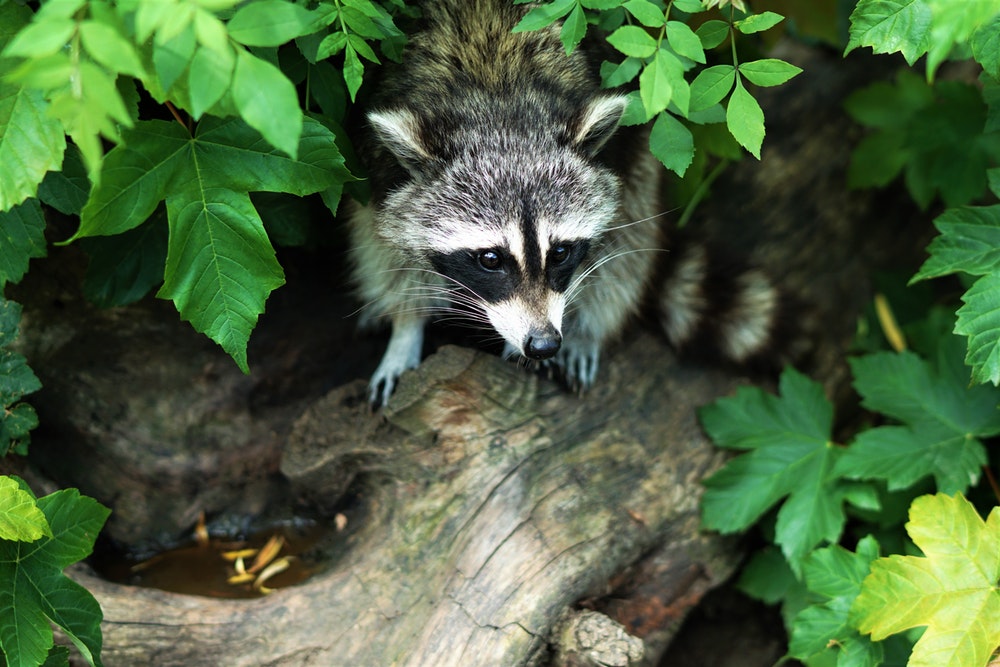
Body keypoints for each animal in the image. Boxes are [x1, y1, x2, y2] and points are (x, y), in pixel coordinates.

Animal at [352, 0, 788, 408]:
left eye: (560, 253)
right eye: (490, 259)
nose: (544, 343)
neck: (498, 101)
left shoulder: (615, 156)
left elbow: (616, 245)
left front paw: (578, 330)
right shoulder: (380, 173)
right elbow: (386, 251)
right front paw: (406, 329)